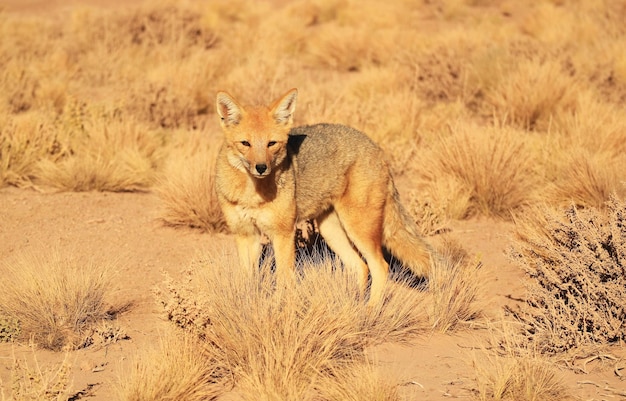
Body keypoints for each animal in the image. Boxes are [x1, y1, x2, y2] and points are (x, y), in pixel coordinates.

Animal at [213, 88, 428, 304]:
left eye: (271, 143)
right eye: (245, 143)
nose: (261, 167)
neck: (251, 194)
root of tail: (377, 148)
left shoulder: (283, 234)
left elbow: (284, 280)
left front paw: (280, 307)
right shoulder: (246, 234)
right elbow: (248, 280)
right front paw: (248, 302)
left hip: (358, 229)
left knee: (380, 266)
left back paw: (370, 309)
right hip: (331, 231)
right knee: (361, 266)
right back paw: (355, 305)